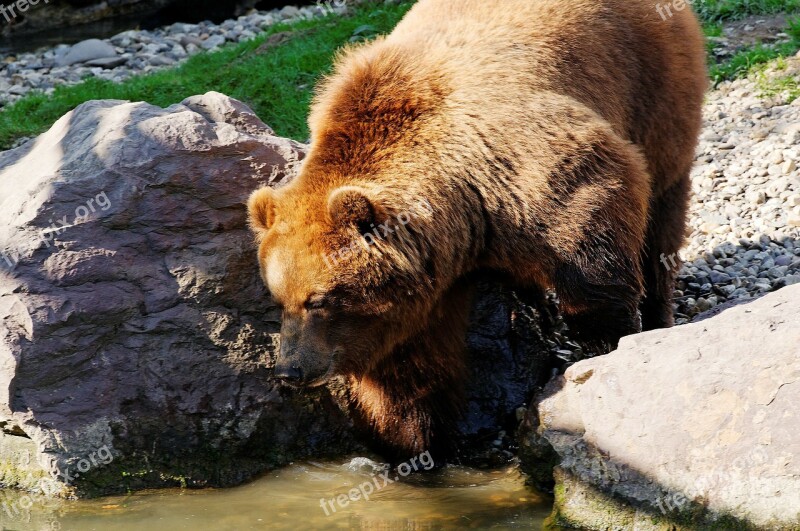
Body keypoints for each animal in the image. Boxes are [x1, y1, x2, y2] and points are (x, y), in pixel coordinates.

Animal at [248, 0, 708, 462]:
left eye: (319, 300)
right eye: (279, 299)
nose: (289, 370)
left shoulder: (522, 169)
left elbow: (593, 238)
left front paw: (600, 341)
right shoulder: (429, 272)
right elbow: (409, 366)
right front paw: (410, 440)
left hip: (651, 83)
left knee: (662, 207)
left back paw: (655, 313)